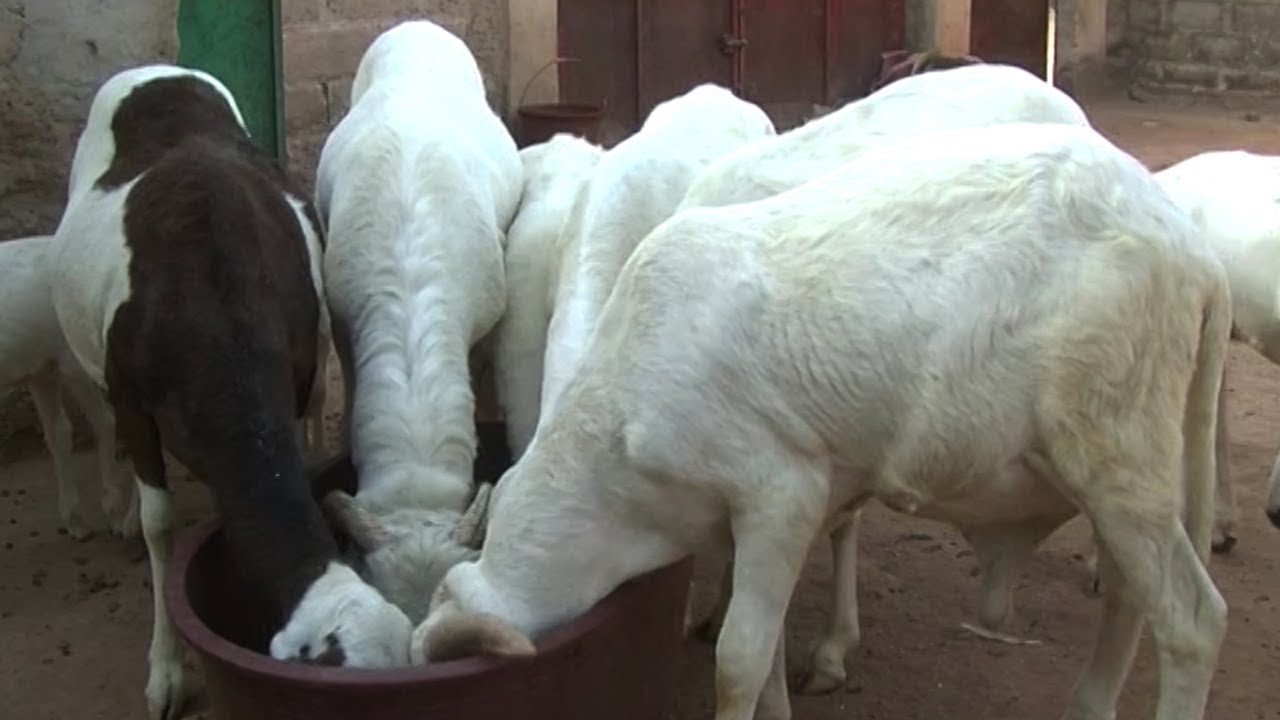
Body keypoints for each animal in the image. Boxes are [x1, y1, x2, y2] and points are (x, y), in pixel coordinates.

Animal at [0, 233, 136, 535]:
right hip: (43, 368)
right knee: (59, 431)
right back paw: (76, 521)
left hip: (75, 359)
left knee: (105, 421)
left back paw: (117, 513)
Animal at [409, 121, 1228, 717]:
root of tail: (1188, 242)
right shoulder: (754, 522)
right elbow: (764, 646)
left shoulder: (780, 495)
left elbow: (737, 660)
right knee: (1129, 597)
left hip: (1118, 447)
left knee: (1192, 625)